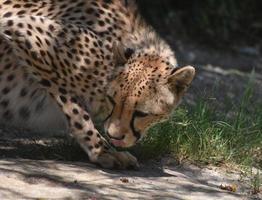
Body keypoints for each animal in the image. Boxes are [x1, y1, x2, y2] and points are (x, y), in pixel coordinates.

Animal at [0, 0, 194, 169]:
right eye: (112, 100)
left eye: (141, 113)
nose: (114, 136)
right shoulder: (22, 28)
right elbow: (77, 112)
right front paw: (102, 151)